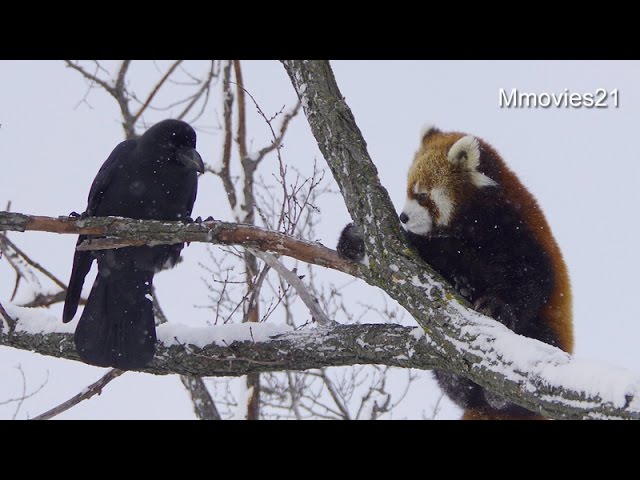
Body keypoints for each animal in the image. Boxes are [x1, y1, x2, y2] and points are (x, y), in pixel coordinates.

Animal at [338, 125, 572, 418]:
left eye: (422, 195)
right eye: (408, 190)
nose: (403, 217)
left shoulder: (518, 232)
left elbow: (532, 280)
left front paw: (496, 306)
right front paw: (356, 241)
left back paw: (499, 396)